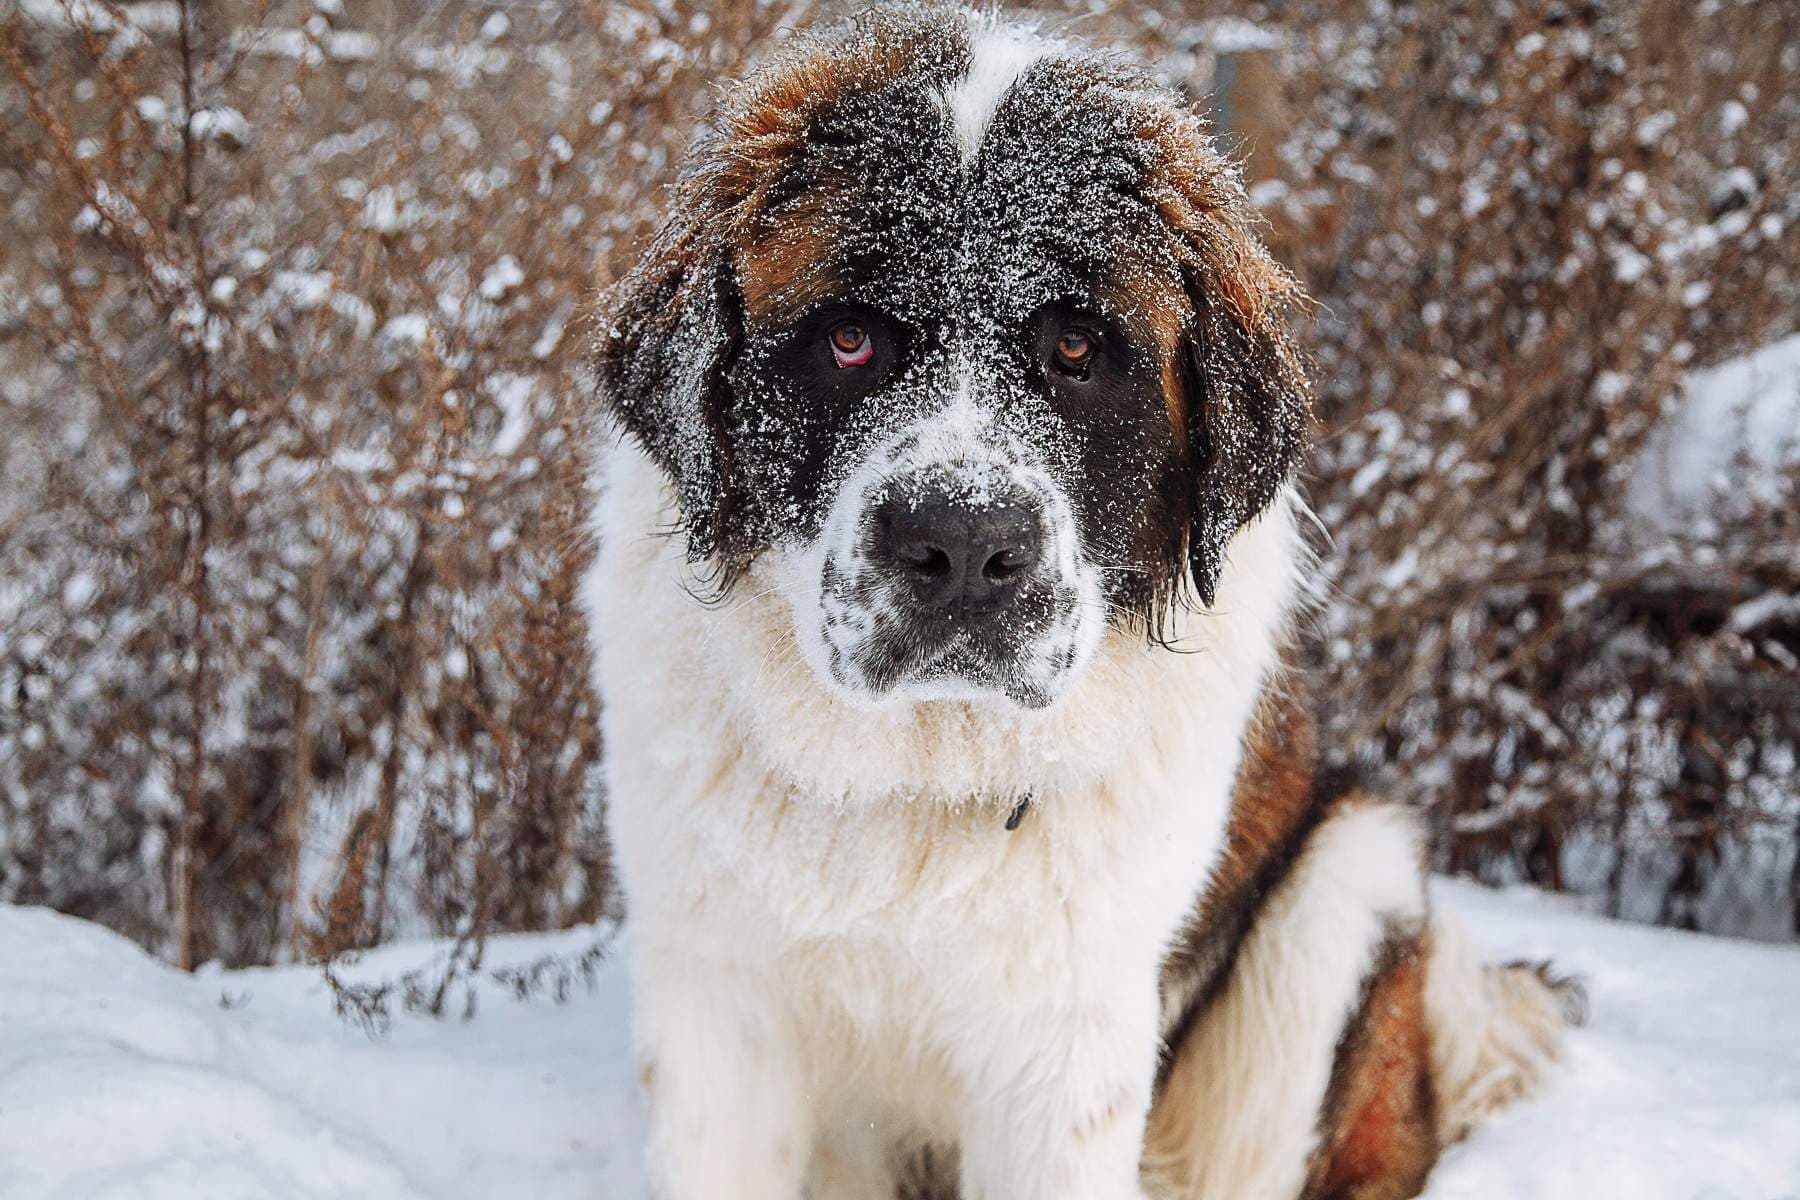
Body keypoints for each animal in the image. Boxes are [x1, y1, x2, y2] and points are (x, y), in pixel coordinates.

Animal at [586, 9, 1576, 1200]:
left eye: (1074, 349)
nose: (963, 543)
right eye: (849, 339)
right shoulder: (715, 1004)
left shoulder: (1063, 1045)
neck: (922, 770)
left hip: (1349, 882)